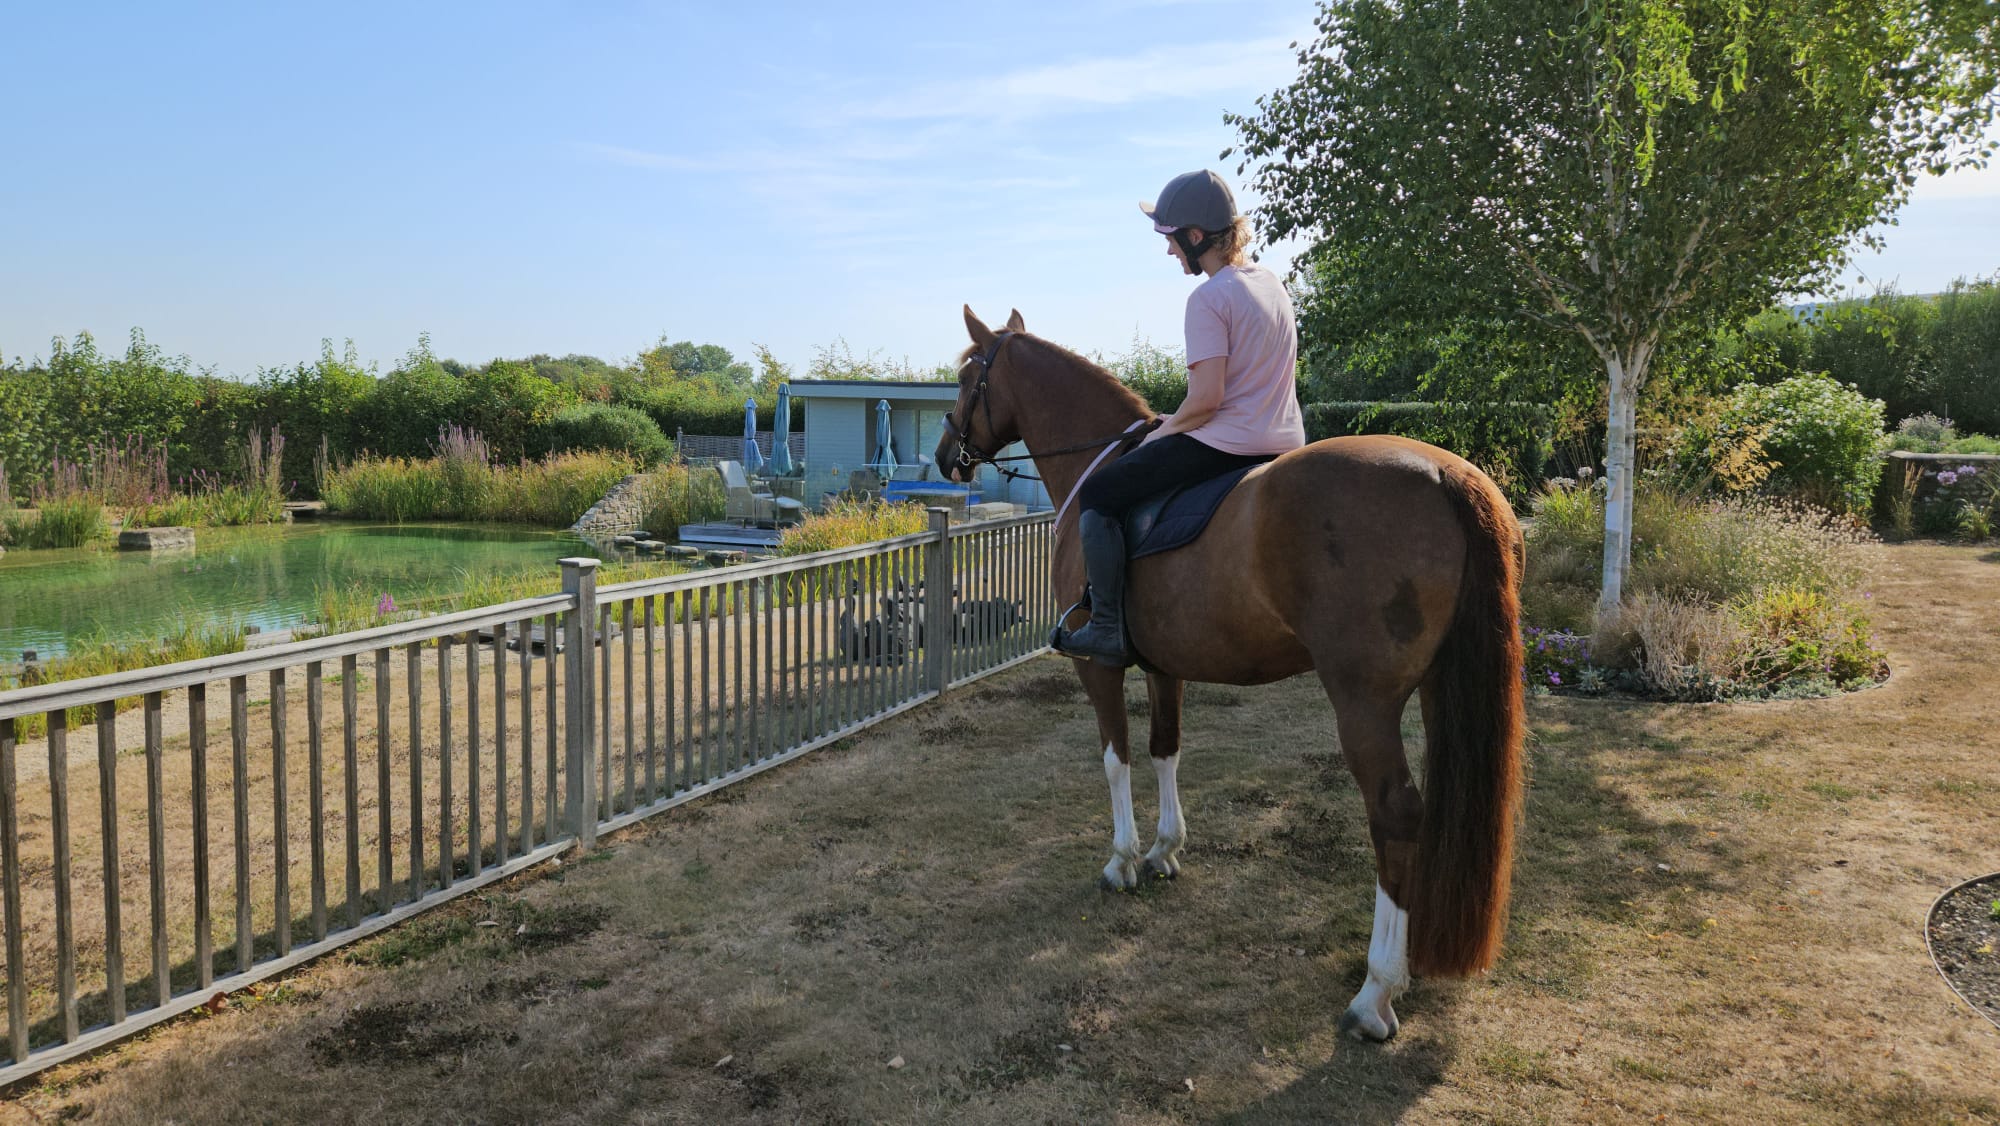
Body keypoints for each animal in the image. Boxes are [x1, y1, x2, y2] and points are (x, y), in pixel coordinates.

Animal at [935, 307, 1526, 1042]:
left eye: (966, 379)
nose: (945, 455)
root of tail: (1448, 475)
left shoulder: (1098, 667)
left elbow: (1115, 758)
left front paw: (1122, 859)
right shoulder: (1165, 669)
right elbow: (1165, 749)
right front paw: (1165, 850)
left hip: (1364, 702)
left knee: (1396, 815)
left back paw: (1376, 992)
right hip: (1441, 692)